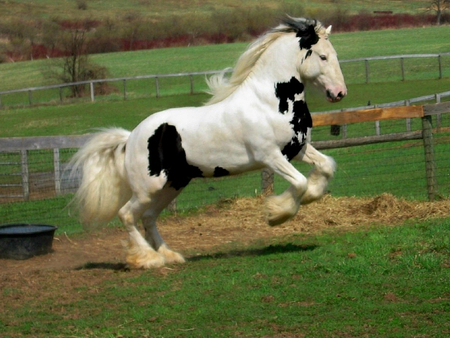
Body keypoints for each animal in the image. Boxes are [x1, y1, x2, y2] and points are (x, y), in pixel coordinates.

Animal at [68, 16, 346, 270]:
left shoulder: (298, 149)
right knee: (127, 214)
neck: (269, 102)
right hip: (149, 187)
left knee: (147, 217)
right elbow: (299, 182)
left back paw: (170, 255)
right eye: (323, 57)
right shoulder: (270, 156)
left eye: (334, 55)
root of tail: (131, 136)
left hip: (173, 185)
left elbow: (327, 166)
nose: (339, 93)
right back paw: (149, 259)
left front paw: (309, 196)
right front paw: (276, 214)